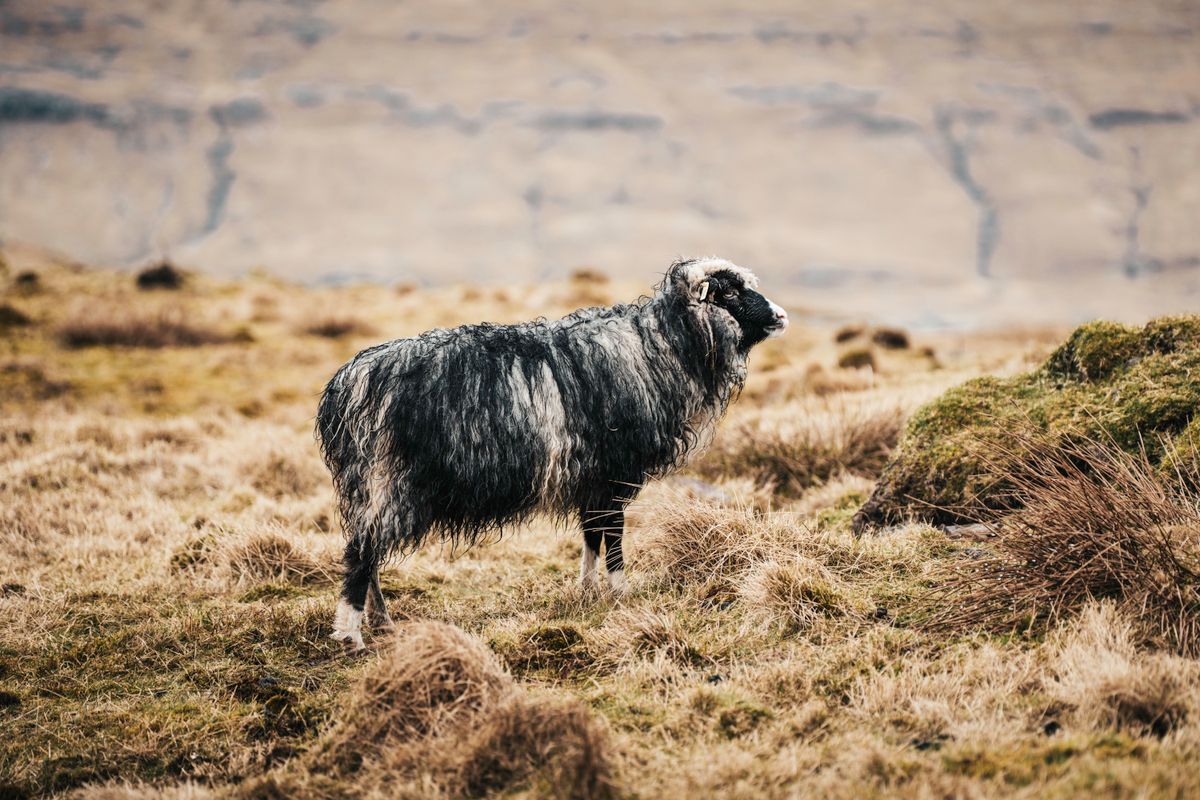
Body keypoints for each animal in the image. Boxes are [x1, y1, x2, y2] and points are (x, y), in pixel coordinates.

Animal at [316, 257, 788, 648]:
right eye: (729, 293)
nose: (781, 316)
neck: (660, 349)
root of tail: (348, 384)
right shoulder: (613, 472)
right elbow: (613, 535)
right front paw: (620, 593)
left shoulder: (593, 477)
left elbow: (592, 534)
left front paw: (587, 591)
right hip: (391, 481)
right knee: (360, 553)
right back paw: (351, 635)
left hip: (369, 486)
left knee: (369, 553)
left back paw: (381, 621)